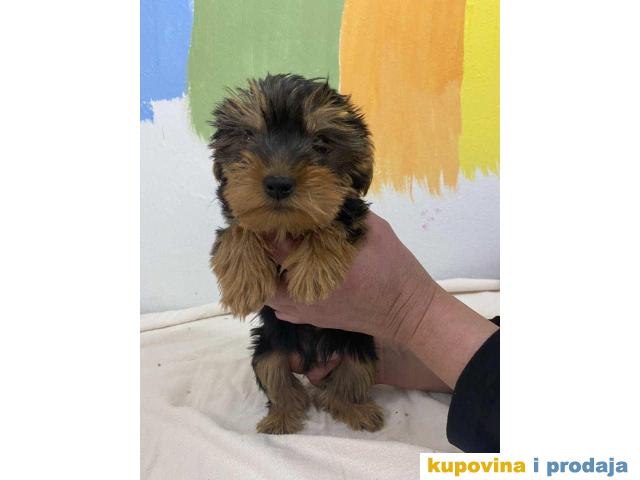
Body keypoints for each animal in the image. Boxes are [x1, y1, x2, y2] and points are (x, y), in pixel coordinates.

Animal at [209, 74, 383, 434]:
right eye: (249, 136)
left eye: (321, 143)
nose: (278, 182)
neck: (285, 226)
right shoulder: (236, 211)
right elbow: (239, 228)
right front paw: (243, 285)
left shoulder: (352, 213)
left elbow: (329, 222)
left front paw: (314, 275)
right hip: (268, 346)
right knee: (276, 377)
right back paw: (282, 417)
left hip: (360, 344)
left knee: (352, 377)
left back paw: (355, 409)